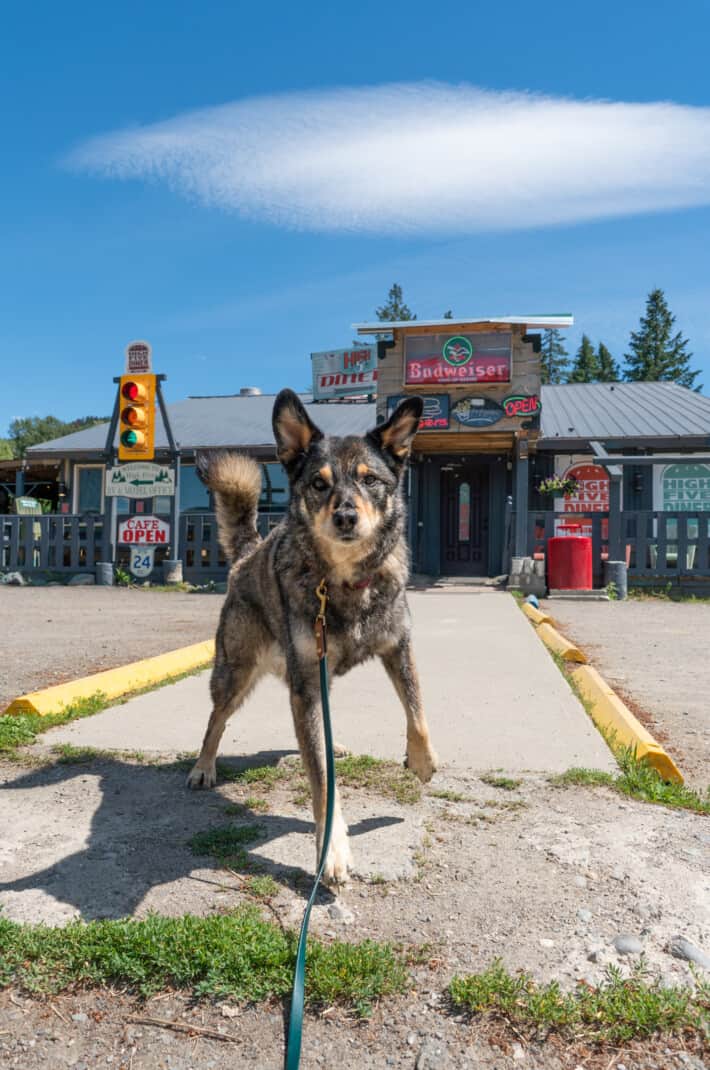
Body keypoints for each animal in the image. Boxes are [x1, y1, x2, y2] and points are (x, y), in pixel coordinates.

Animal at [186, 389, 436, 881]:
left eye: (370, 480)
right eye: (319, 485)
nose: (345, 517)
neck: (346, 582)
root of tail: (248, 554)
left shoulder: (399, 645)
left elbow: (417, 711)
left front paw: (421, 760)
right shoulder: (305, 686)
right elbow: (321, 779)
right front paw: (331, 848)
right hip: (235, 671)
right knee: (216, 719)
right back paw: (204, 766)